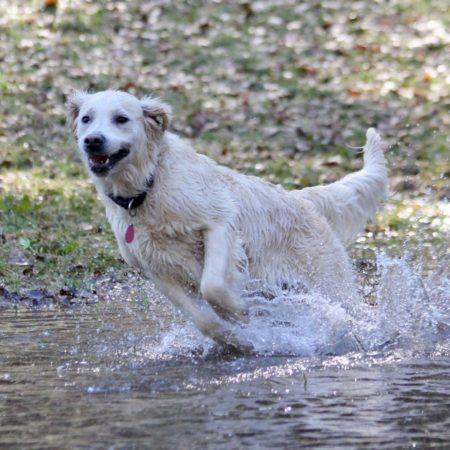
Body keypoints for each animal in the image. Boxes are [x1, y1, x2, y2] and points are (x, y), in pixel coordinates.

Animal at [68, 89, 388, 350]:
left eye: (121, 119)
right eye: (86, 119)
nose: (92, 140)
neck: (147, 188)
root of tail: (302, 198)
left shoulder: (218, 224)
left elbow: (213, 286)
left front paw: (238, 311)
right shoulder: (155, 268)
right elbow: (204, 321)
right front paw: (236, 339)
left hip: (330, 281)